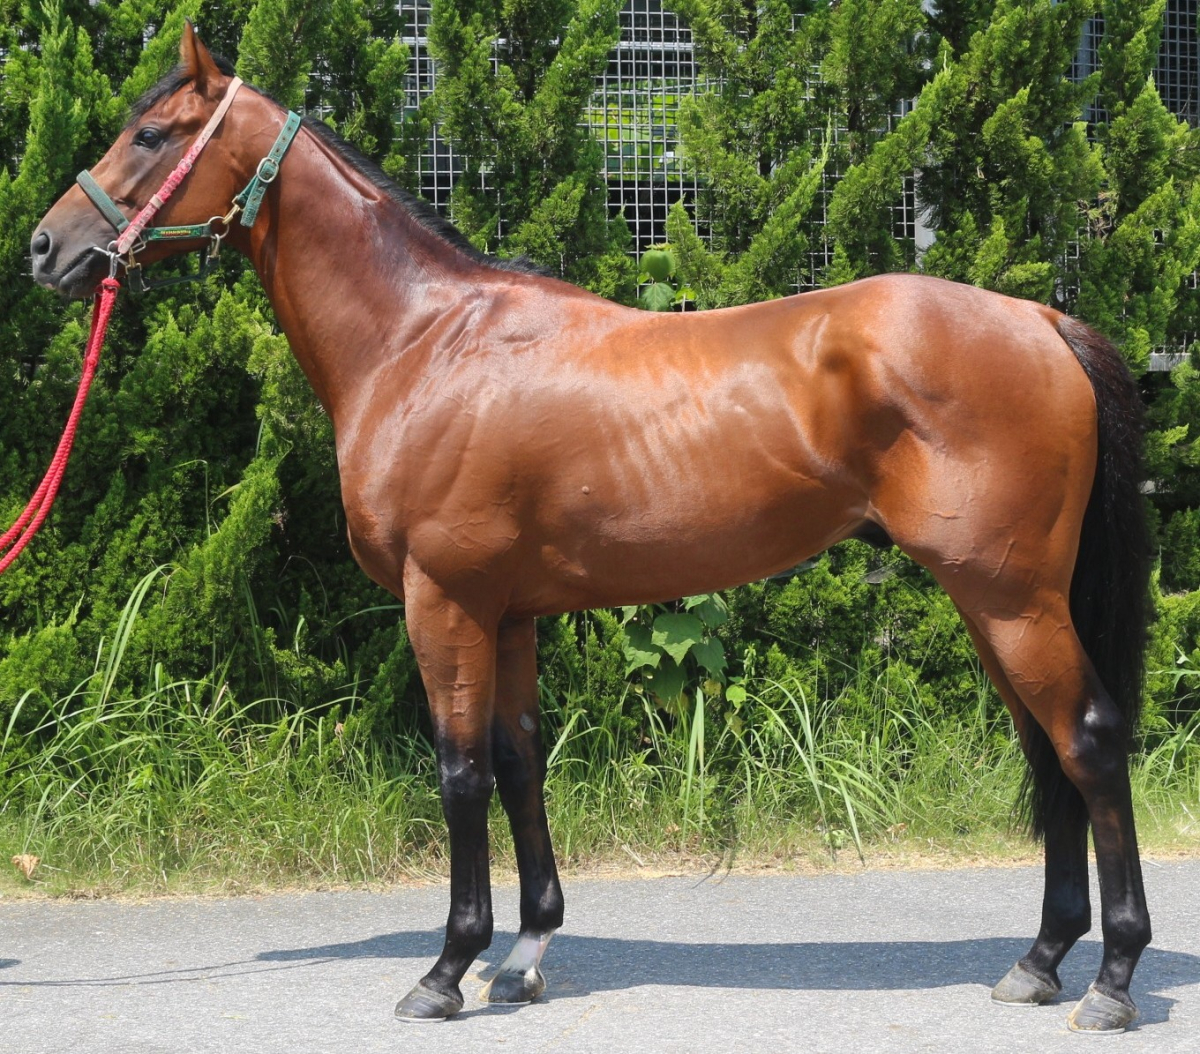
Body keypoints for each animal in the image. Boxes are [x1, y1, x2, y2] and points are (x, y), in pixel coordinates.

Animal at [30, 24, 1152, 1033]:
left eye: (152, 134)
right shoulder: (510, 611)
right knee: (1045, 749)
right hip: (996, 599)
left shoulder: (444, 601)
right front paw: (524, 954)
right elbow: (521, 761)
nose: (47, 247)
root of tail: (1043, 321)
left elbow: (460, 772)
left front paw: (447, 969)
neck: (424, 343)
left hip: (1011, 597)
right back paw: (1040, 960)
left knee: (1089, 743)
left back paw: (1109, 980)